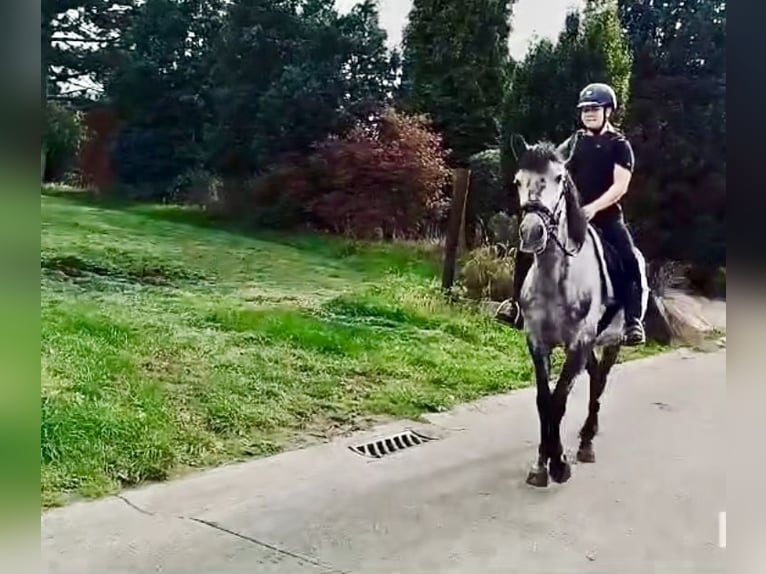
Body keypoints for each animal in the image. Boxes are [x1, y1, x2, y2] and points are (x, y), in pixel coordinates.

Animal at [512, 136, 652, 490]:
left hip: (611, 341)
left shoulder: (578, 343)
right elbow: (544, 401)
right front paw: (541, 464)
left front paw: (559, 464)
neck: (557, 280)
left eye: (559, 178)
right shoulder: (537, 343)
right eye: (518, 181)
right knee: (594, 378)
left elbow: (559, 400)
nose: (532, 233)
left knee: (599, 383)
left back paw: (588, 441)